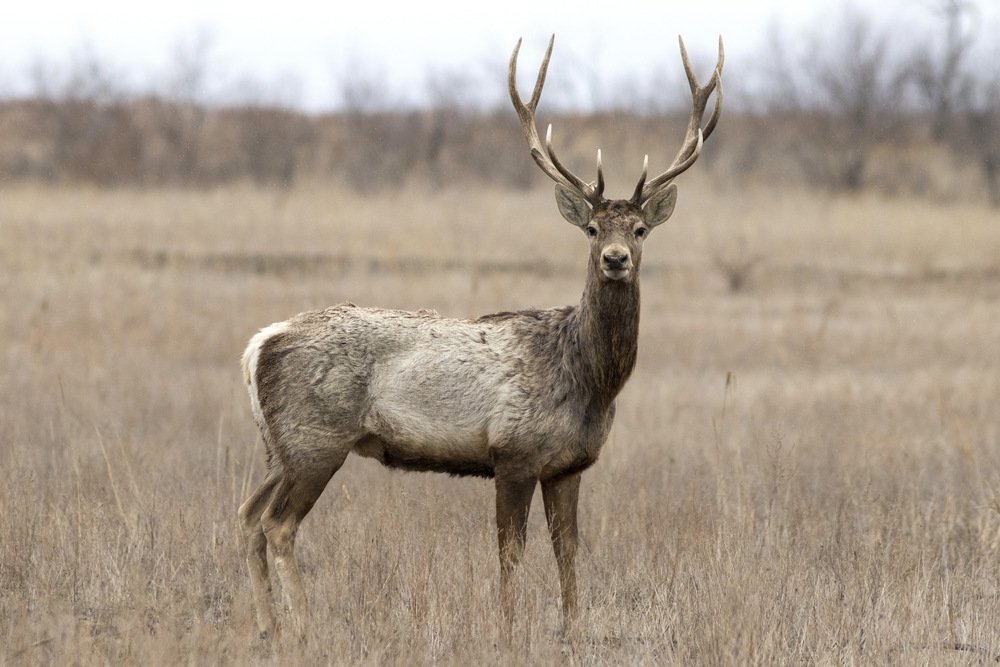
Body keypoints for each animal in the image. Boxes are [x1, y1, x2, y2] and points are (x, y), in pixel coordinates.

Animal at [238, 35, 724, 640]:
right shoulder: (512, 452)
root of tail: (259, 344)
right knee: (277, 524)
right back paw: (303, 625)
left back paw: (266, 626)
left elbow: (568, 550)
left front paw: (572, 628)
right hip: (316, 439)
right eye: (592, 229)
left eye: (639, 230)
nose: (615, 259)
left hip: (278, 445)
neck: (587, 379)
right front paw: (508, 626)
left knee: (247, 517)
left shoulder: (570, 465)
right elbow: (510, 551)